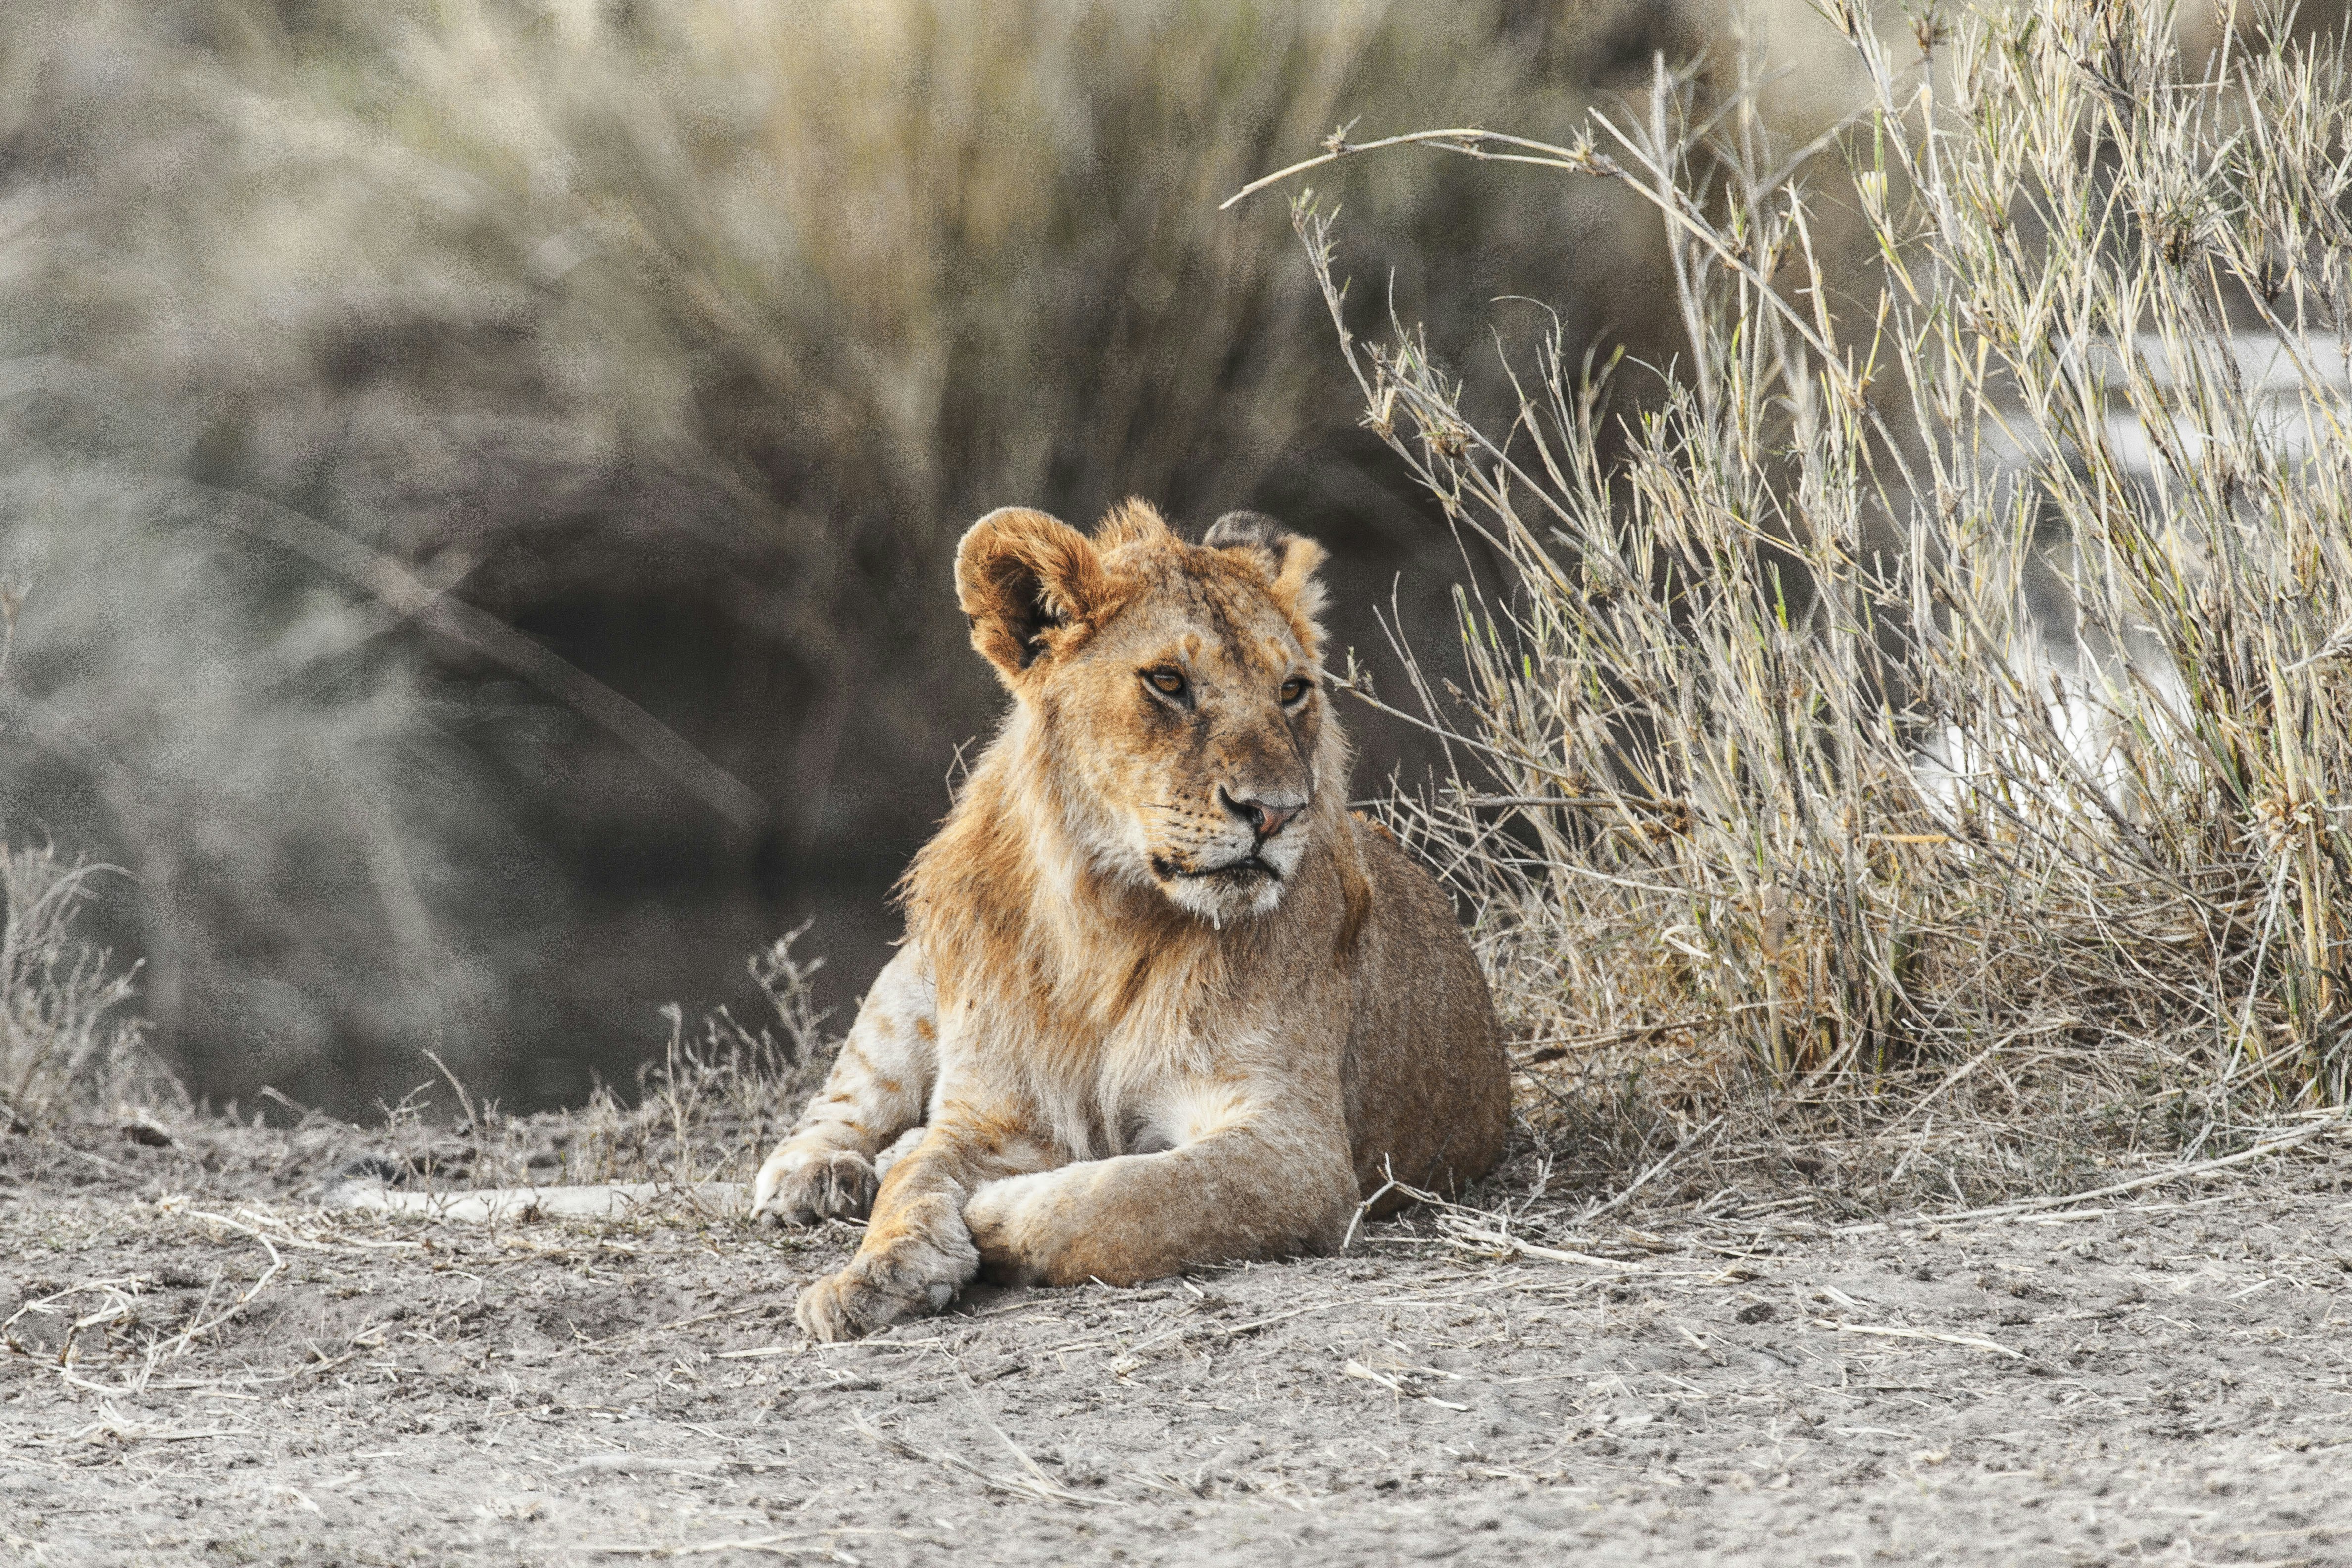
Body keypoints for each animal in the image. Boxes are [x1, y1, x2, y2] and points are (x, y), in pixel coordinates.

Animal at [752, 500, 1508, 1341]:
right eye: (1169, 682)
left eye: (1292, 690)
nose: (1276, 813)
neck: (1112, 922)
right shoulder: (992, 1111)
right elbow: (918, 1179)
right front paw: (870, 1276)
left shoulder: (1299, 1150)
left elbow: (1139, 1198)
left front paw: (995, 1215)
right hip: (909, 984)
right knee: (847, 1100)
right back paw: (815, 1176)